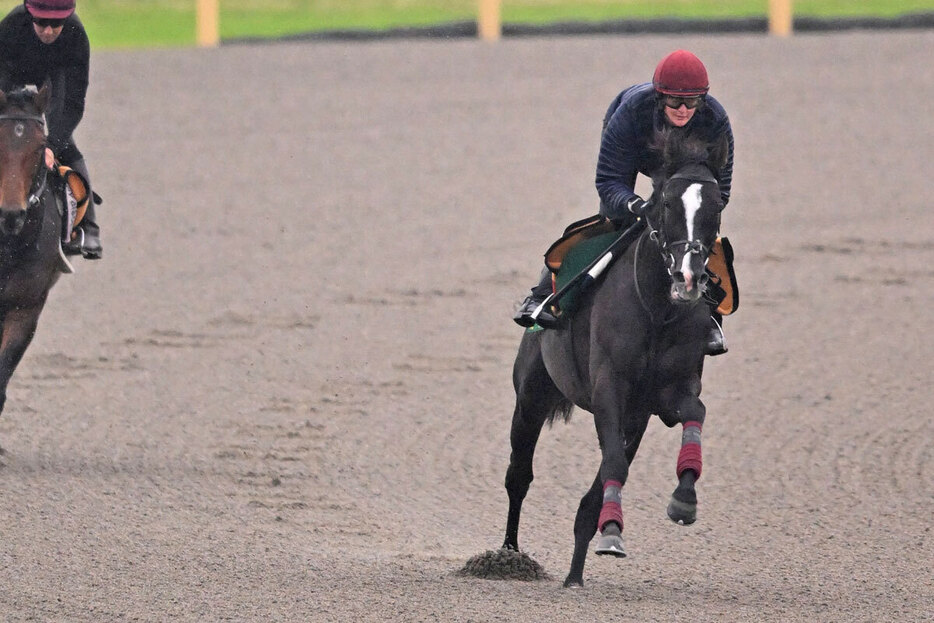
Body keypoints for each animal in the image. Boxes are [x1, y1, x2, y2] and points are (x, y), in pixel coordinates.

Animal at [504, 129, 732, 588]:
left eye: (716, 205)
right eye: (666, 203)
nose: (688, 276)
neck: (657, 311)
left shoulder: (666, 394)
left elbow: (694, 413)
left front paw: (684, 499)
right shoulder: (609, 386)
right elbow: (612, 461)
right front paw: (612, 533)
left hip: (636, 419)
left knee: (591, 495)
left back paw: (575, 575)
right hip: (532, 392)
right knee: (519, 474)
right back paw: (507, 555)